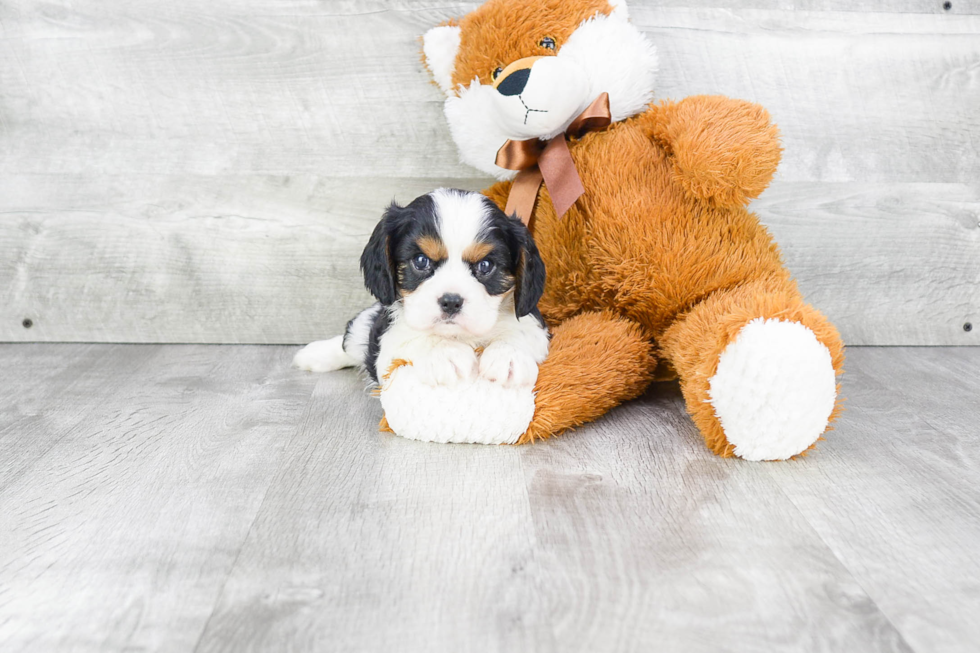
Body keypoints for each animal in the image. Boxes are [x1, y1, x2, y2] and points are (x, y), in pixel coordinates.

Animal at [290, 188, 552, 392]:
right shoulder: (386, 344)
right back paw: (315, 354)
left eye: (486, 265)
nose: (451, 301)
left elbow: (521, 332)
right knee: (351, 339)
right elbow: (412, 336)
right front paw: (445, 351)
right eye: (421, 261)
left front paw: (508, 354)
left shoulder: (536, 326)